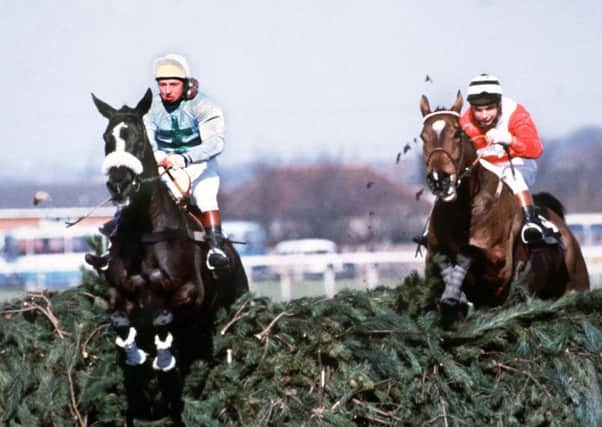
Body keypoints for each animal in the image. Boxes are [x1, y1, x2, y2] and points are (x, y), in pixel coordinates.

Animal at [89, 88, 248, 426]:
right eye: (107, 137)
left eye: (137, 139)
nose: (118, 184)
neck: (146, 235)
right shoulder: (117, 293)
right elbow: (121, 321)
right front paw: (136, 354)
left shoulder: (190, 293)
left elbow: (164, 317)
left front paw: (163, 360)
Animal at [418, 92, 584, 322]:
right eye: (422, 136)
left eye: (457, 134)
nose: (439, 180)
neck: (464, 212)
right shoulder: (432, 256)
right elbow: (441, 257)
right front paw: (454, 297)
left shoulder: (499, 268)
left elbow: (469, 251)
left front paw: (453, 295)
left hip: (576, 285)